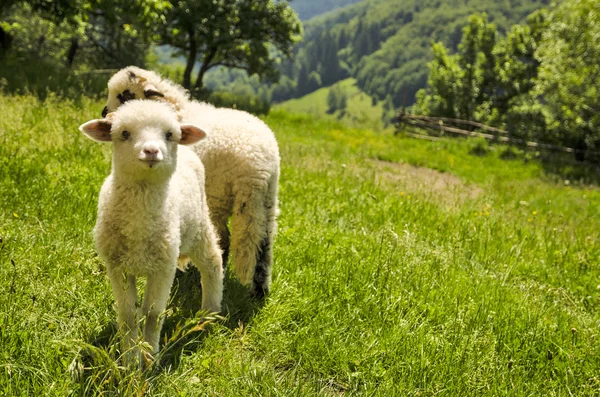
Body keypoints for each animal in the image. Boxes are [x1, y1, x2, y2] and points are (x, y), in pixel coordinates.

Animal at [77, 100, 223, 366]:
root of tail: (189, 152)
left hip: (198, 229)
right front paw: (129, 359)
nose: (152, 151)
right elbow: (128, 315)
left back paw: (209, 313)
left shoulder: (164, 267)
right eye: (124, 133)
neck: (139, 224)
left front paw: (149, 357)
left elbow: (153, 314)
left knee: (213, 263)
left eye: (170, 135)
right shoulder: (118, 267)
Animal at [103, 67, 282, 296]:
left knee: (223, 238)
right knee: (264, 245)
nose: (104, 113)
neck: (178, 109)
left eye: (125, 95)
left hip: (216, 197)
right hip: (267, 200)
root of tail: (258, 165)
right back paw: (260, 291)